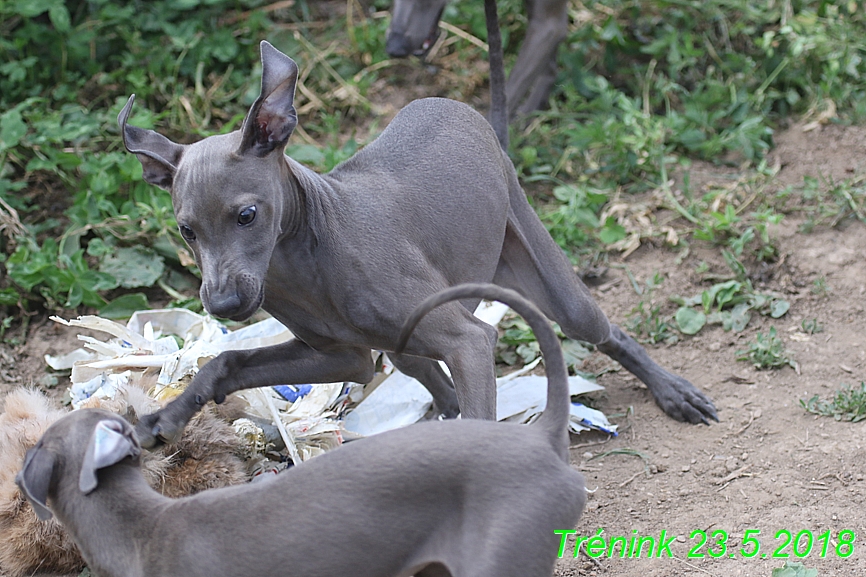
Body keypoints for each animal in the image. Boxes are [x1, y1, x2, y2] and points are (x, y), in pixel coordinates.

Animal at [121, 40, 716, 446]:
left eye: (247, 215)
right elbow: (225, 363)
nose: (223, 303)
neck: (307, 258)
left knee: (603, 330)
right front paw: (165, 417)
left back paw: (674, 392)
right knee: (428, 376)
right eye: (186, 230)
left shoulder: (468, 342)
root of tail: (467, 111)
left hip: (543, 276)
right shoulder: (341, 357)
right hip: (410, 340)